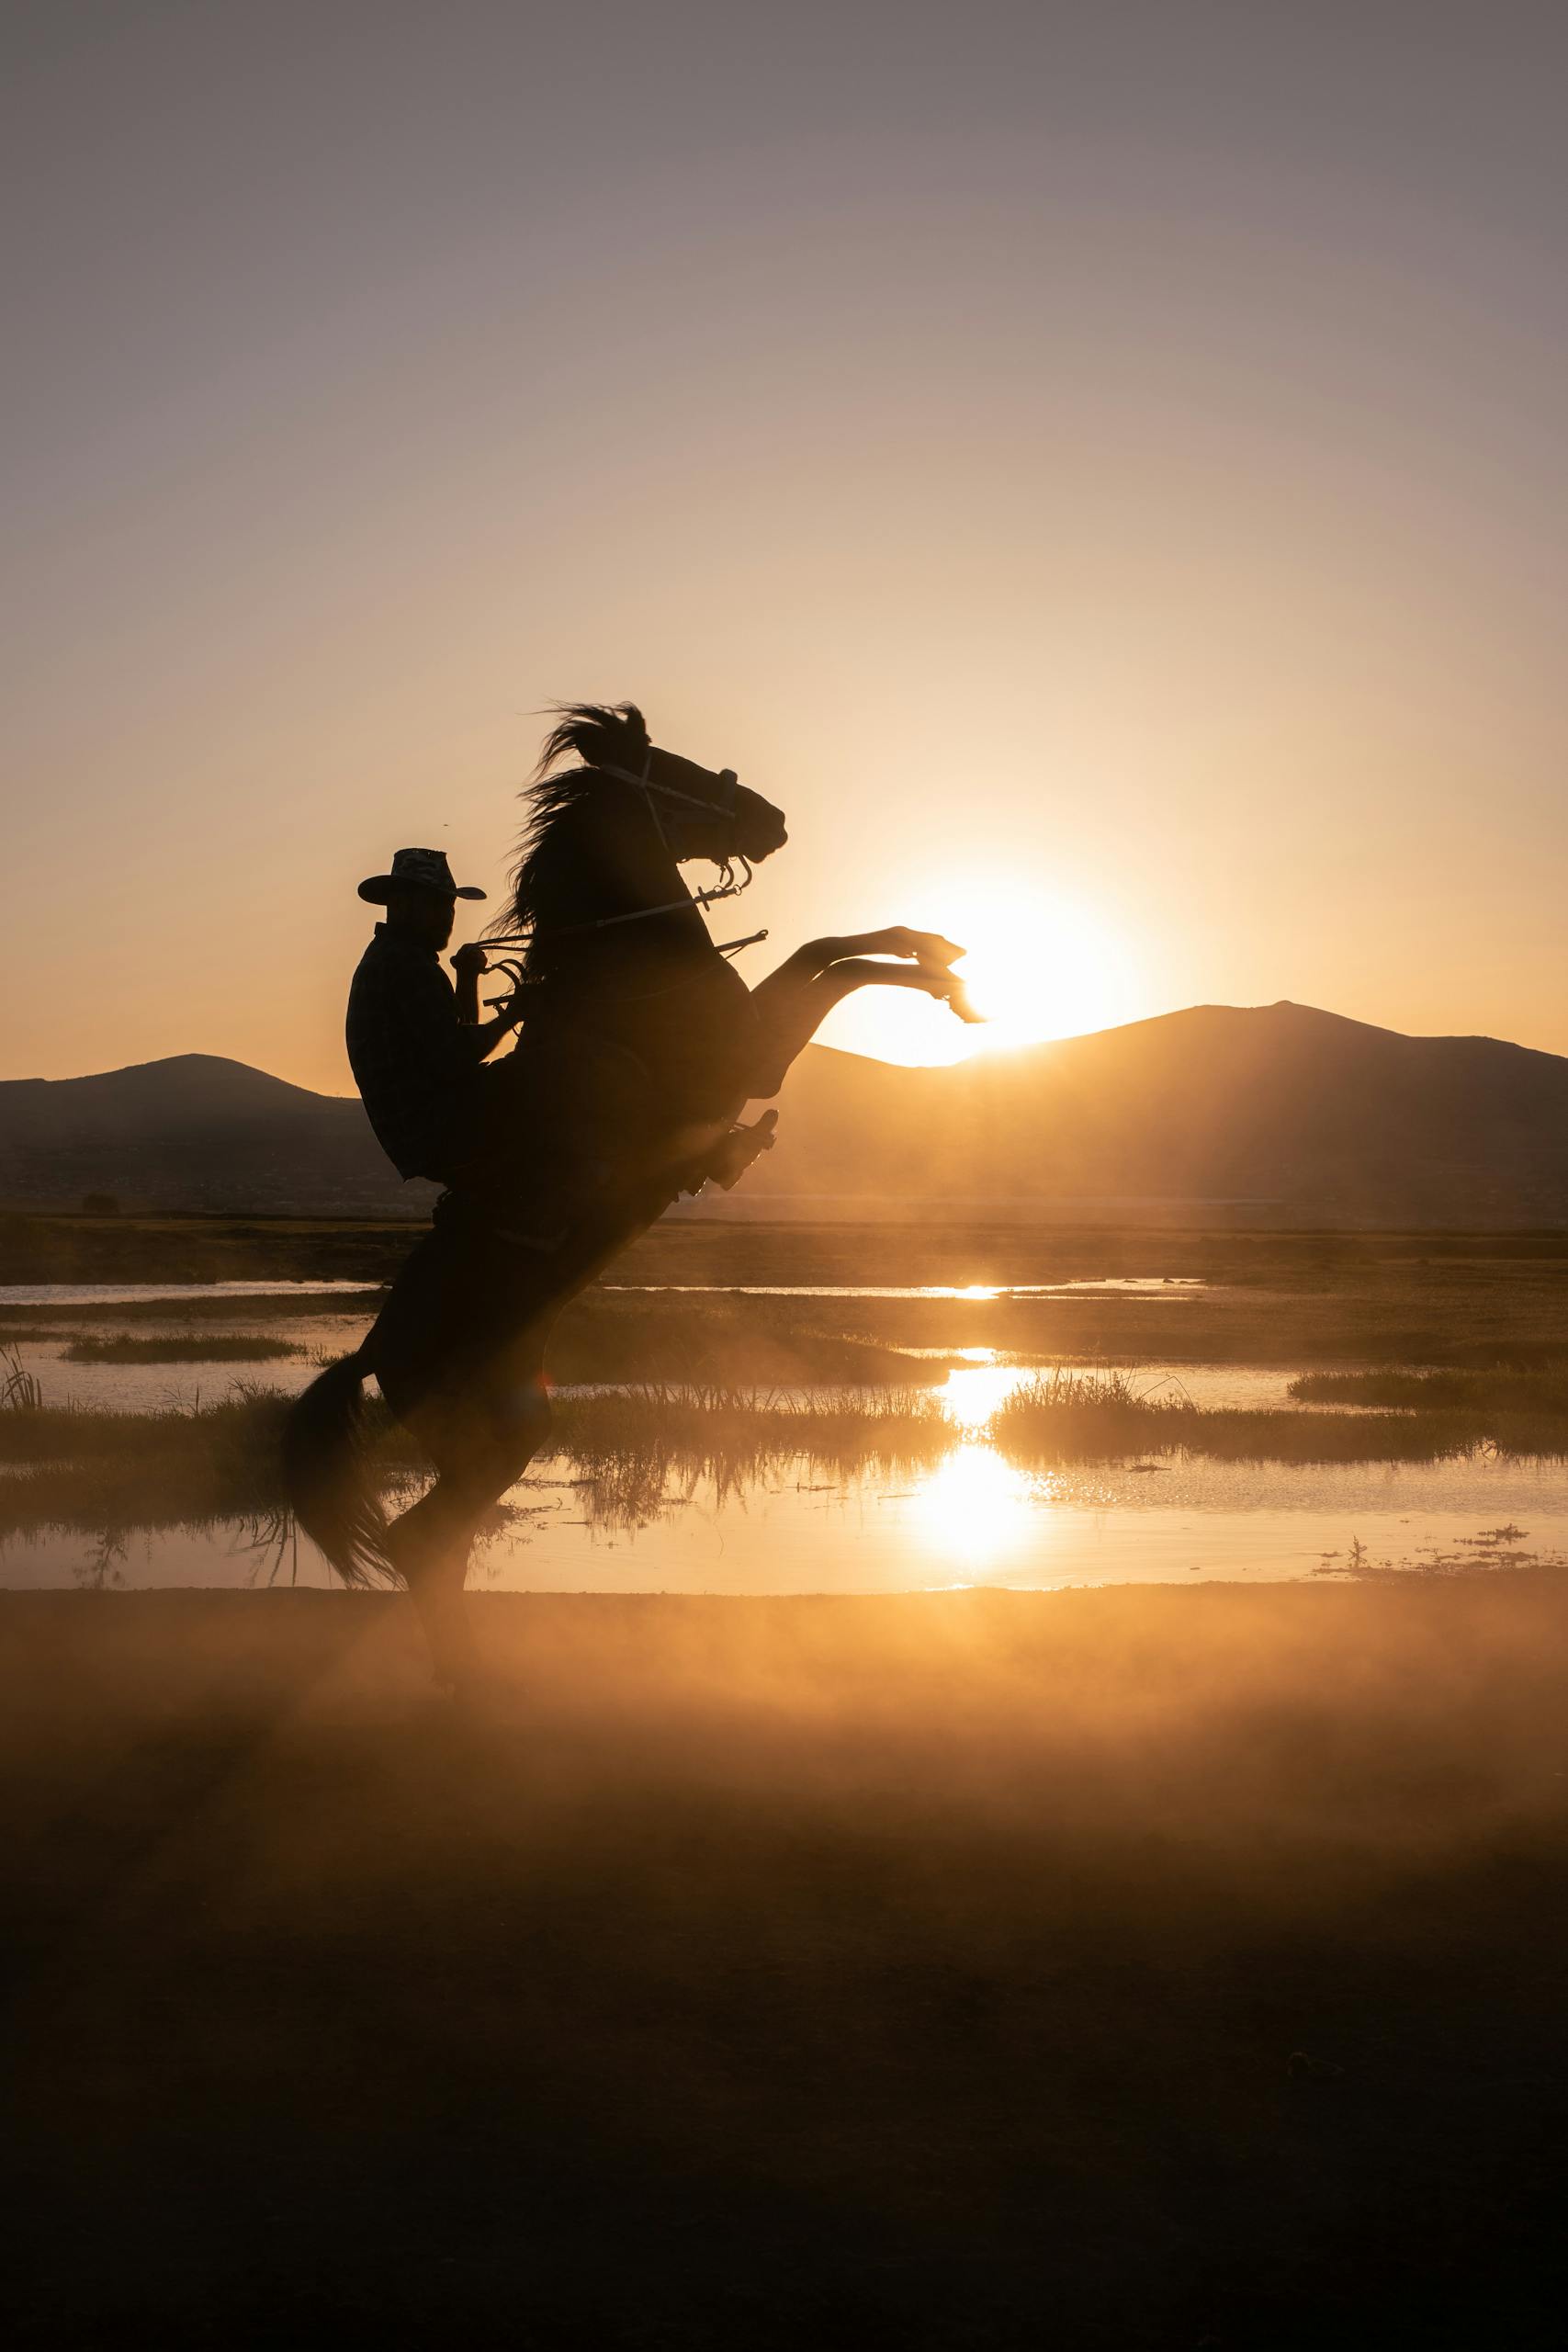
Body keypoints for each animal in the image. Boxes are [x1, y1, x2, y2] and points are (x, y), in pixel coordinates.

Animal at [283, 701, 978, 1683]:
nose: (771, 819)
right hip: (484, 1437)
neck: (624, 963)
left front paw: (941, 951)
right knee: (424, 1541)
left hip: (514, 1424)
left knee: (438, 1545)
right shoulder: (752, 1056)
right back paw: (471, 1687)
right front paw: (950, 980)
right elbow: (837, 968)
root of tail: (377, 1353)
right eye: (672, 766)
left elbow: (821, 948)